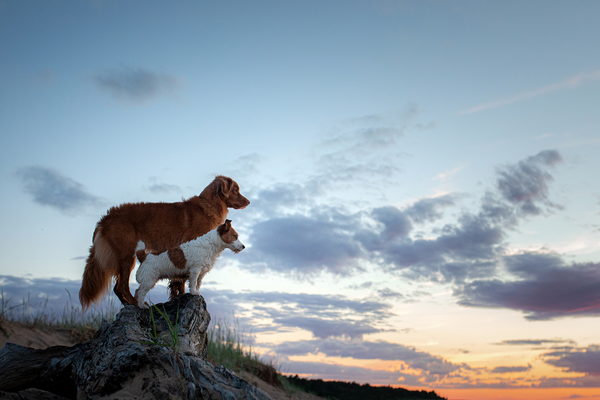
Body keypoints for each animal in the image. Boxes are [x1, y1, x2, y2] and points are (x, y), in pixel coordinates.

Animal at [79, 173, 248, 308]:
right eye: (235, 190)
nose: (249, 202)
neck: (209, 206)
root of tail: (104, 219)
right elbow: (183, 282)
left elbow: (178, 282)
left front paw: (178, 297)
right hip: (127, 256)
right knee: (122, 287)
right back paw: (136, 304)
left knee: (118, 288)